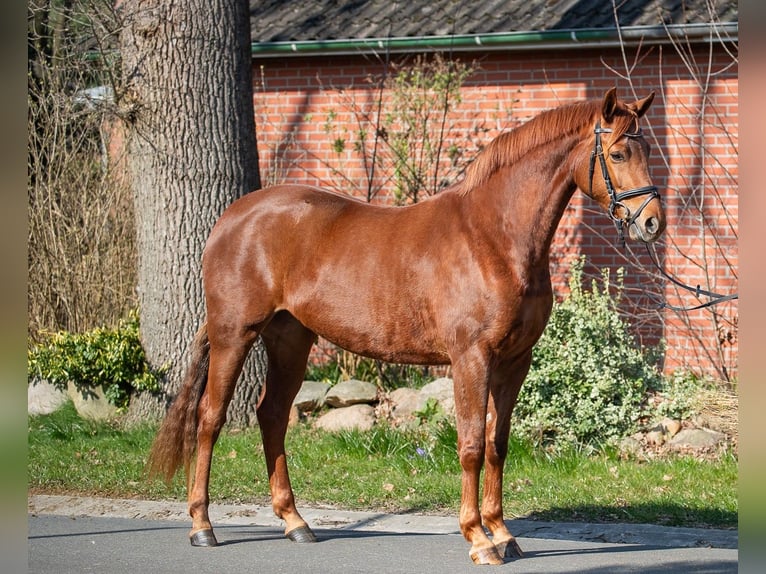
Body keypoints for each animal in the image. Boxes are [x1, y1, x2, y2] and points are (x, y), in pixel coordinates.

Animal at [148, 88, 664, 564]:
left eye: (647, 150)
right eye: (619, 153)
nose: (652, 224)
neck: (493, 237)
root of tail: (232, 218)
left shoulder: (515, 361)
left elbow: (497, 444)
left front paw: (503, 534)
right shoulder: (470, 358)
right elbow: (471, 445)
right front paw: (478, 539)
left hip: (290, 340)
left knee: (271, 415)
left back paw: (295, 522)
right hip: (233, 335)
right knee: (209, 418)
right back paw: (202, 525)